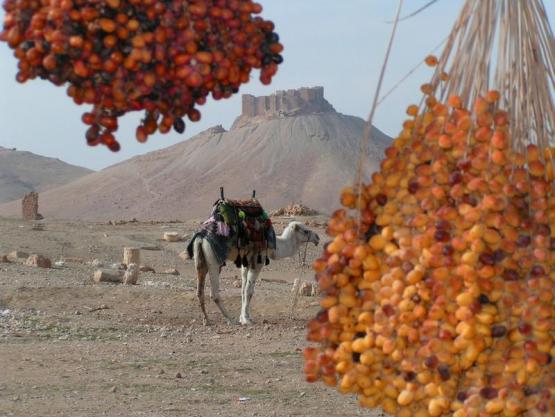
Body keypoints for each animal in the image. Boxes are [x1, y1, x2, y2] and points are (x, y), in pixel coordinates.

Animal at [187, 221, 320, 324]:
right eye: (306, 231)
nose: (317, 237)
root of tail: (201, 237)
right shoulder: (257, 263)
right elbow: (249, 291)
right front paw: (246, 320)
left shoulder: (245, 265)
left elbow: (243, 290)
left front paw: (243, 317)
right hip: (214, 261)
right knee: (214, 293)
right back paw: (230, 319)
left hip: (200, 259)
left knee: (200, 290)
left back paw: (206, 320)